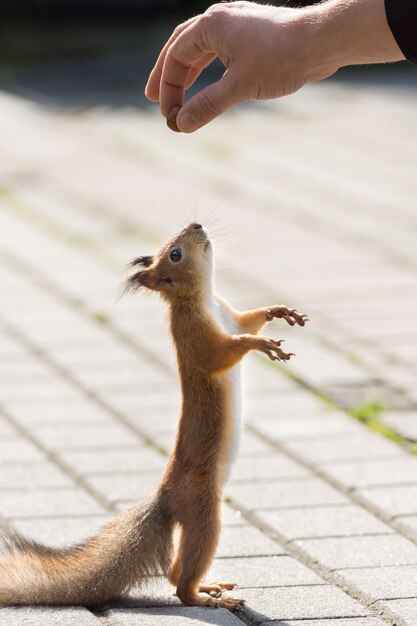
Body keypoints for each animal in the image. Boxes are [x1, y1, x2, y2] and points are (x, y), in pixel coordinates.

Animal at [0, 222, 306, 608]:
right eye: (175, 254)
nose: (197, 226)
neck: (203, 298)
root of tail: (167, 493)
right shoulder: (194, 336)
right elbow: (221, 353)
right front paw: (259, 344)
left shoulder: (231, 317)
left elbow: (247, 321)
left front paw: (277, 312)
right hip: (204, 512)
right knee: (182, 582)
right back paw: (205, 598)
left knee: (176, 572)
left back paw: (210, 586)